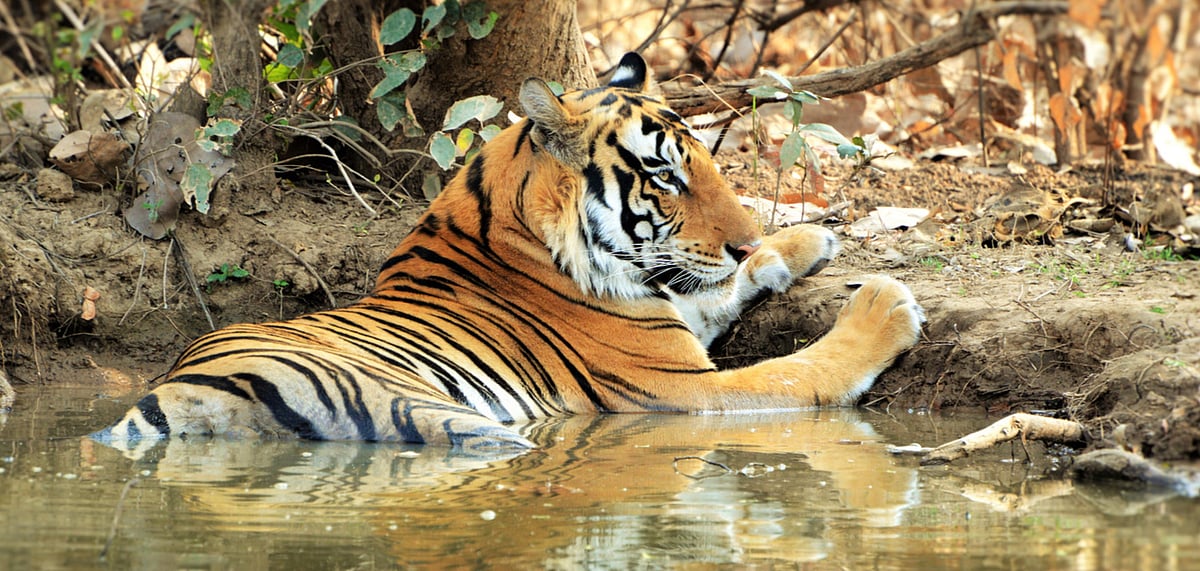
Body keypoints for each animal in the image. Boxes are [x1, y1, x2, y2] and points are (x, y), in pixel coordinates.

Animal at [92, 52, 924, 452]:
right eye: (664, 175)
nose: (746, 233)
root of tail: (168, 395)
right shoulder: (680, 389)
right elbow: (803, 368)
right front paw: (884, 305)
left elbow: (714, 282)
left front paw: (802, 239)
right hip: (449, 418)